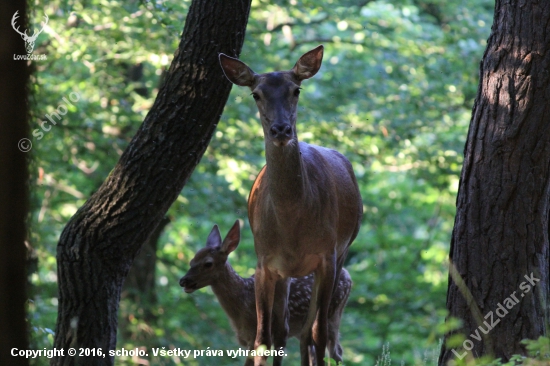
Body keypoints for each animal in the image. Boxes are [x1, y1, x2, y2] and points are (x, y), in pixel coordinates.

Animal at [181, 220, 354, 366]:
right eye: (191, 261)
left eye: (208, 263)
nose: (183, 281)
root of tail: (349, 277)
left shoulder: (255, 336)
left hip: (332, 314)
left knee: (336, 352)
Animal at [218, 46, 364, 366]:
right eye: (256, 94)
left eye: (296, 89)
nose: (281, 130)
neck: (292, 223)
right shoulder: (264, 261)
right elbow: (262, 339)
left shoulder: (327, 256)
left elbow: (319, 333)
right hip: (285, 272)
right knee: (285, 331)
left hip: (343, 251)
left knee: (313, 334)